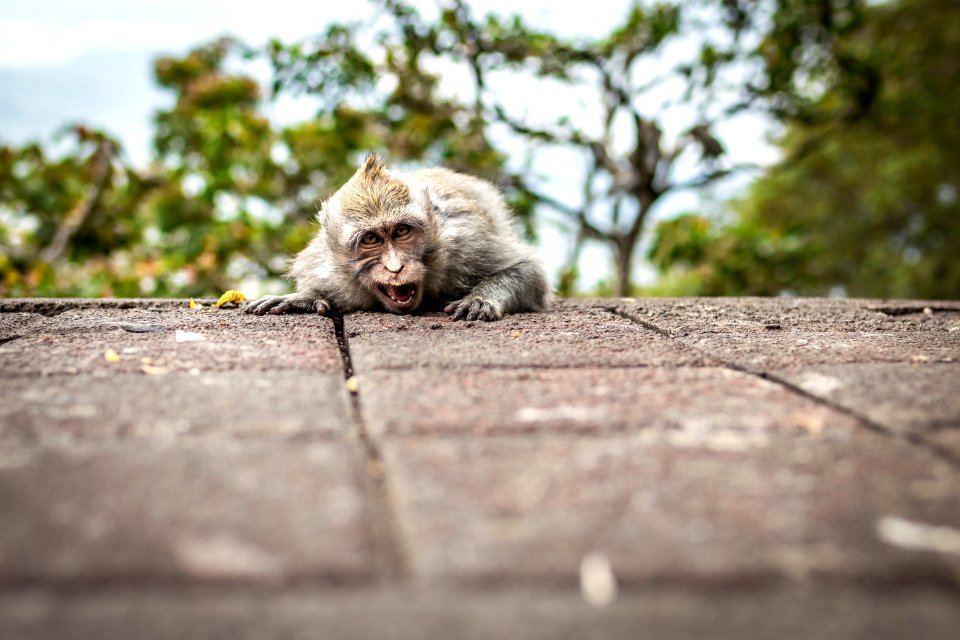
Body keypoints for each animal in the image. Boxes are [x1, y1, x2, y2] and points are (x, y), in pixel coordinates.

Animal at [244, 153, 552, 322]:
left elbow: (528, 272)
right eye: (371, 239)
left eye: (401, 231)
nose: (395, 267)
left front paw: (480, 298)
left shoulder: (467, 245)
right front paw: (303, 299)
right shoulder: (327, 271)